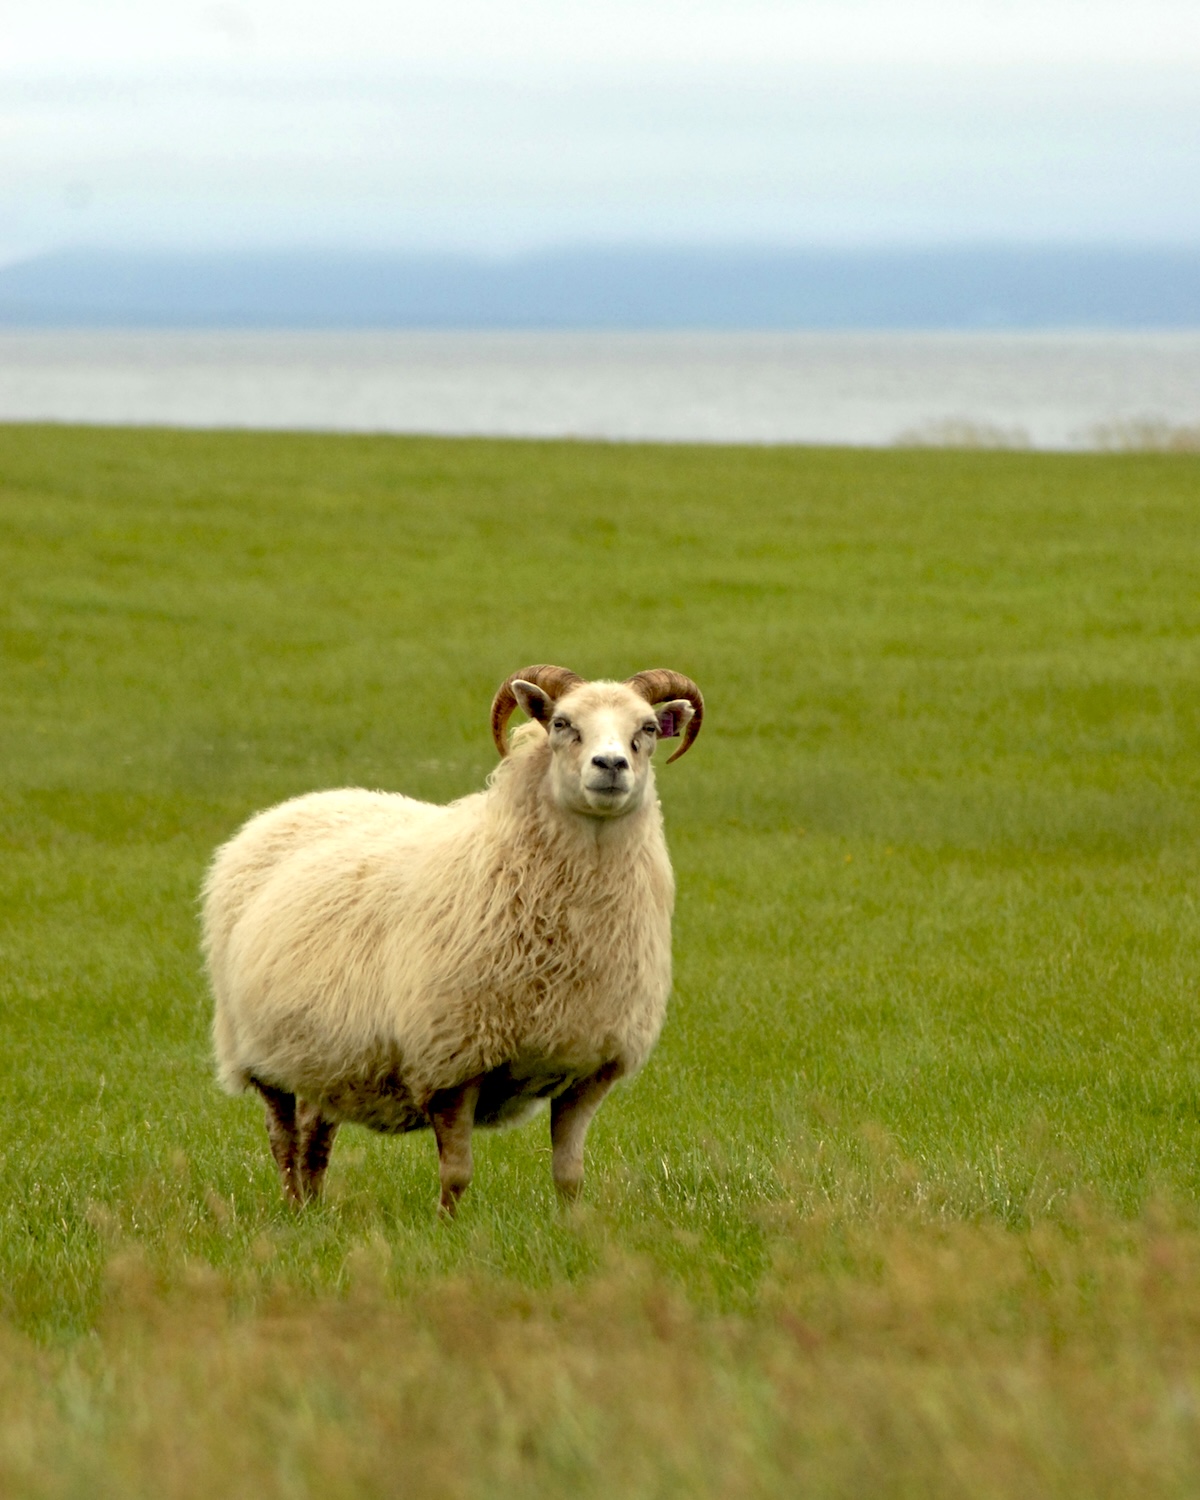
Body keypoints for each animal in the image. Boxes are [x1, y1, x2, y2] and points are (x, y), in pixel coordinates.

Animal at [202, 665, 704, 1212]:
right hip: (258, 1051)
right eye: (562, 723)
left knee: (315, 1136)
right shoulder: (452, 1060)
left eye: (648, 729)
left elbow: (570, 1175)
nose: (610, 764)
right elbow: (457, 1173)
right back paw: (295, 1210)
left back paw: (315, 1210)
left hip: (323, 1057)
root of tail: (298, 804)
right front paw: (450, 1225)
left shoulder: (589, 1069)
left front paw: (574, 1224)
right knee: (284, 1141)